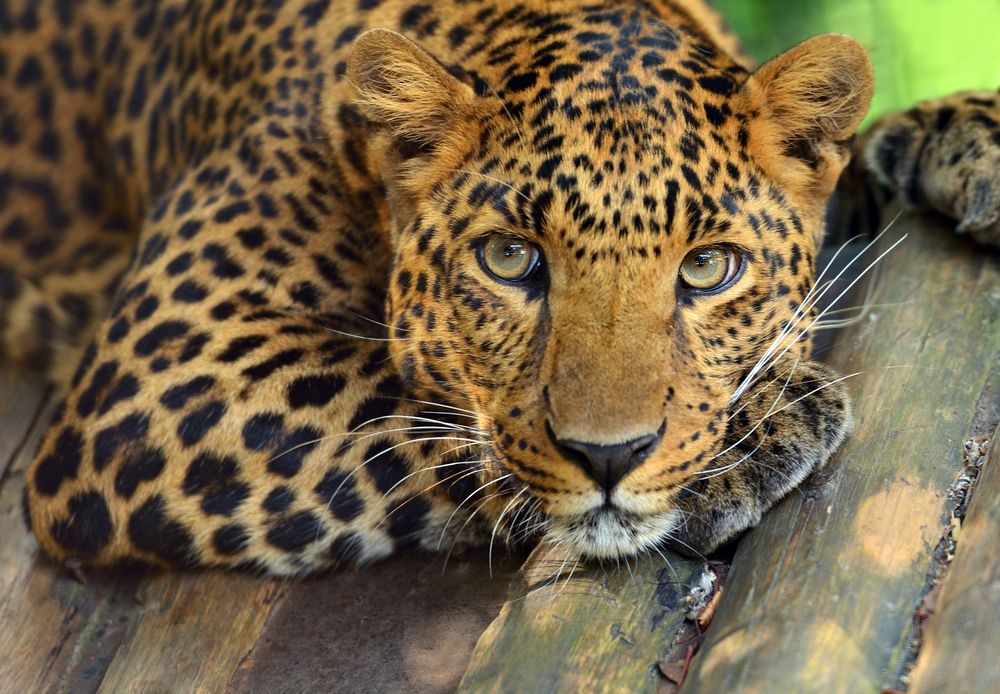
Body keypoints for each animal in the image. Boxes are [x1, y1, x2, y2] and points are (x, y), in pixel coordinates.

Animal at [0, 0, 996, 576]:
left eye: (708, 267)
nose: (609, 457)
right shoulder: (163, 368)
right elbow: (415, 409)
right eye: (511, 260)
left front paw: (967, 137)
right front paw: (754, 433)